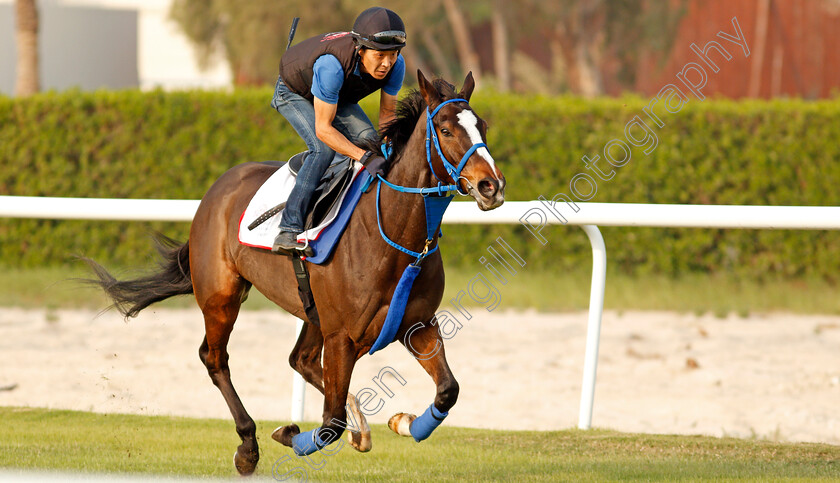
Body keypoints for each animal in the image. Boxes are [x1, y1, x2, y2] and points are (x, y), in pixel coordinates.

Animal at [85, 72, 506, 476]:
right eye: (446, 130)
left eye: (483, 126)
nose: (492, 185)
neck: (394, 235)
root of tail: (217, 188)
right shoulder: (342, 337)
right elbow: (329, 424)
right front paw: (290, 433)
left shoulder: (416, 324)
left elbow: (448, 389)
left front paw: (403, 423)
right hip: (222, 296)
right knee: (215, 358)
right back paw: (248, 445)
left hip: (311, 310)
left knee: (299, 360)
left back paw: (357, 426)